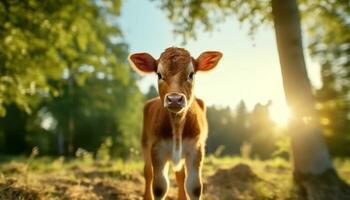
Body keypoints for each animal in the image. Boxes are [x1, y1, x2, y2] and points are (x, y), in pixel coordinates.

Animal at [129, 47, 221, 199]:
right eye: (159, 74)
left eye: (191, 74)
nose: (174, 99)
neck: (177, 124)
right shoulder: (157, 149)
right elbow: (159, 187)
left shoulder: (196, 149)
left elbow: (194, 187)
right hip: (145, 142)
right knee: (148, 172)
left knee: (180, 175)